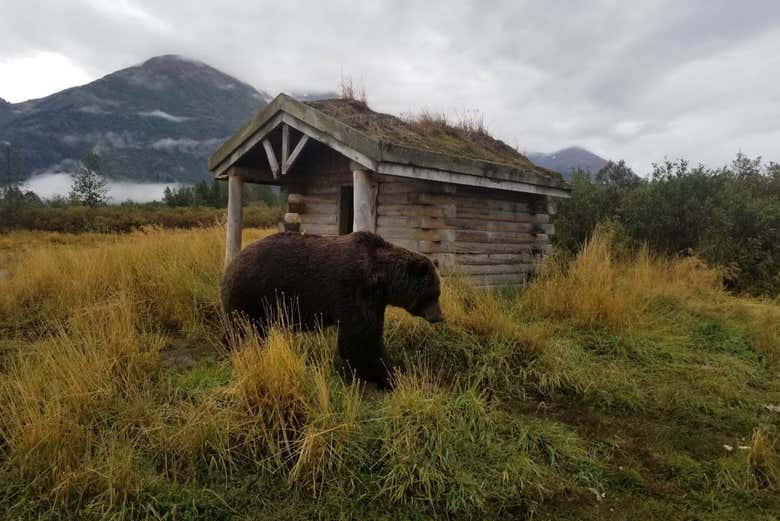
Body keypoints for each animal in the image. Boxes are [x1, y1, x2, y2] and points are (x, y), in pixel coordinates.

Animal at [221, 231, 444, 386]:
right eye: (433, 293)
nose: (439, 317)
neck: (381, 280)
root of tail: (231, 266)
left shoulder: (375, 302)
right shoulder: (355, 291)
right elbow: (361, 340)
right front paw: (388, 375)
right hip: (253, 297)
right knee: (243, 331)